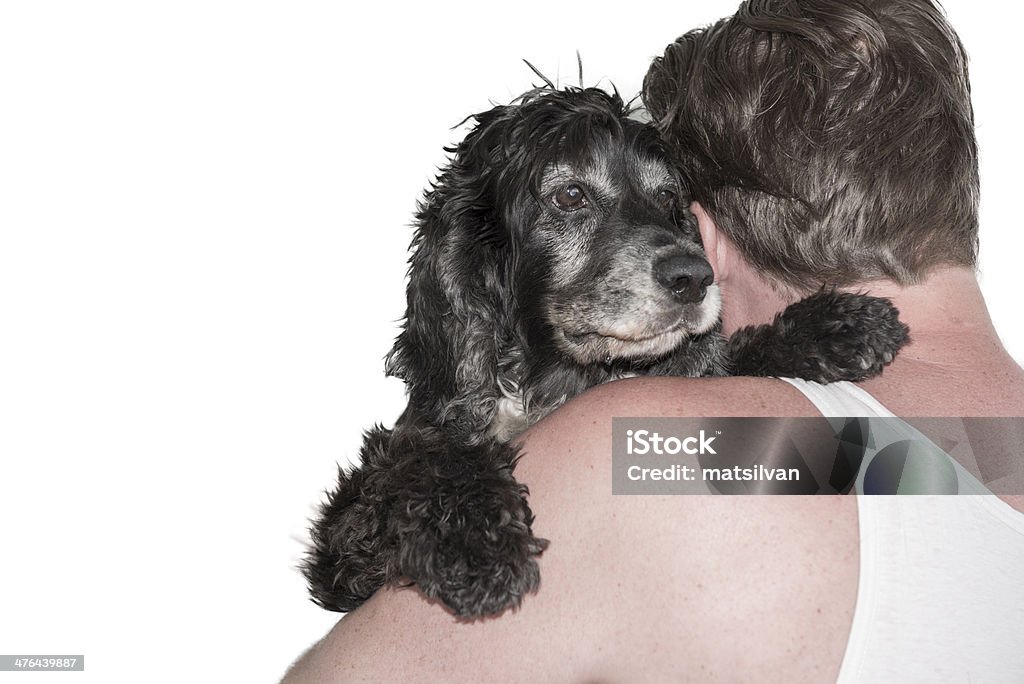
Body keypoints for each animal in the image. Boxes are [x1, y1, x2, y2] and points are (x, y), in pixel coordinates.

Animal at [301, 85, 905, 618]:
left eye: (667, 198)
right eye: (571, 195)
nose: (694, 277)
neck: (556, 379)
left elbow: (722, 360)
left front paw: (833, 328)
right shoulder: (345, 554)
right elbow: (422, 460)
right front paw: (476, 544)